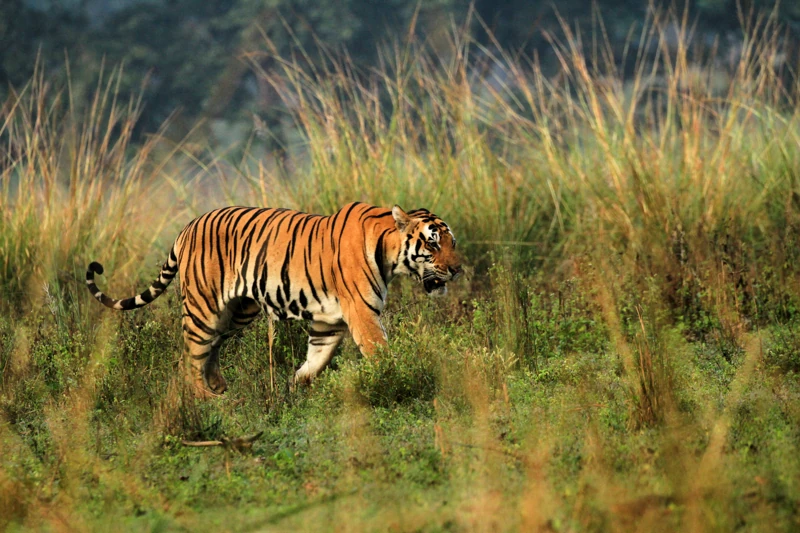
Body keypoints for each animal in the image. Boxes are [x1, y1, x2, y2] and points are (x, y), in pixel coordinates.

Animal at [86, 202, 462, 398]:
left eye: (452, 241)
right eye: (432, 243)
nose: (457, 270)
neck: (390, 254)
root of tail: (186, 228)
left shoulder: (328, 322)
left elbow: (316, 361)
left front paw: (294, 389)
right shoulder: (362, 313)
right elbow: (382, 354)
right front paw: (402, 380)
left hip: (238, 311)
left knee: (211, 349)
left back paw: (220, 388)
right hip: (203, 307)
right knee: (189, 356)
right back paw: (206, 399)